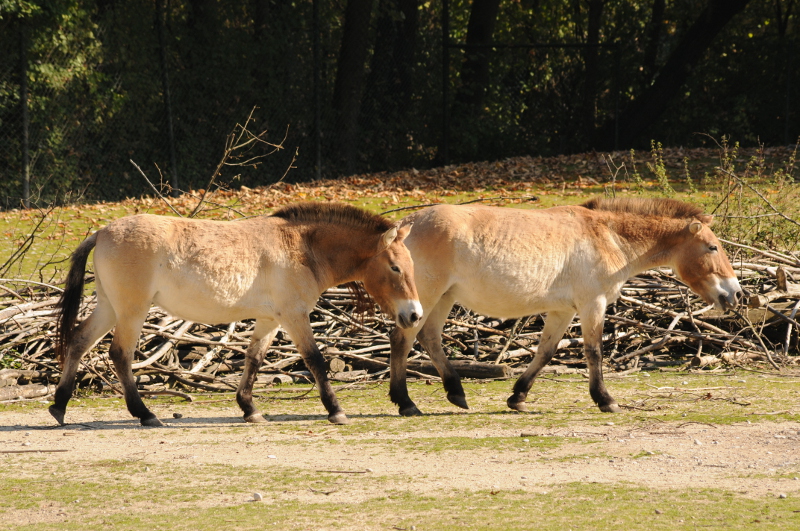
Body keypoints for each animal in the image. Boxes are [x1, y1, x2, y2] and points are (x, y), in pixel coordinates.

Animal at [52, 202, 422, 426]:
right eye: (395, 267)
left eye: (411, 265)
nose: (414, 315)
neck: (303, 248)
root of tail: (102, 232)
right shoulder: (295, 316)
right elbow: (315, 360)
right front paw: (336, 410)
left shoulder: (271, 319)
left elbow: (253, 358)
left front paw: (250, 409)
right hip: (132, 311)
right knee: (121, 354)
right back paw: (145, 414)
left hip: (109, 307)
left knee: (80, 341)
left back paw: (59, 406)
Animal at [387, 197, 743, 416]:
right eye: (712, 247)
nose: (735, 294)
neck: (609, 237)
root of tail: (406, 225)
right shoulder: (592, 304)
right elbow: (594, 351)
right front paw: (606, 400)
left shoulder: (563, 311)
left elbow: (546, 351)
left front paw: (517, 396)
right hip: (427, 296)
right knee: (402, 339)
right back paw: (406, 403)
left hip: (444, 298)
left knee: (429, 338)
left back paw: (456, 393)